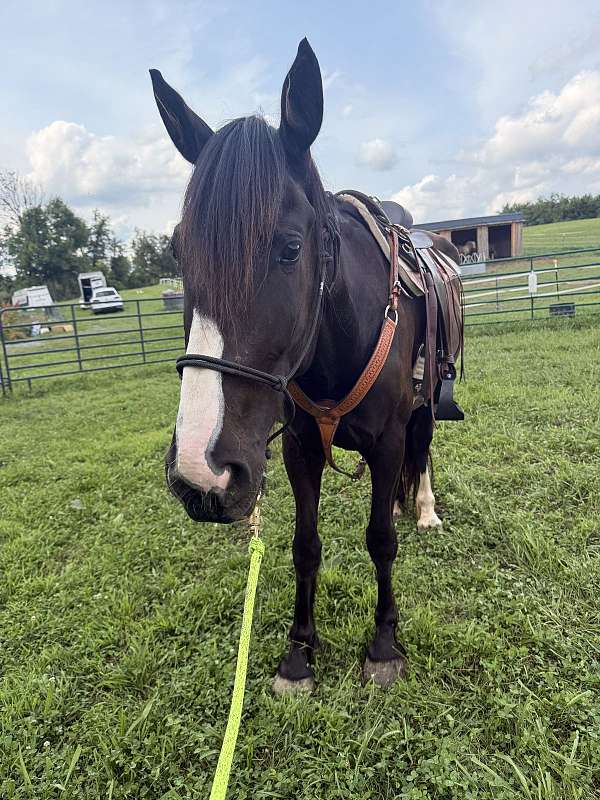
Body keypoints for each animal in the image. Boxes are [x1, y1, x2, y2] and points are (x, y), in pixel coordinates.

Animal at [152, 39, 462, 691]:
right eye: (178, 251)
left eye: (290, 248)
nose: (199, 472)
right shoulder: (298, 447)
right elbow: (305, 544)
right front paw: (299, 652)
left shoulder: (387, 440)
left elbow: (380, 540)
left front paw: (384, 644)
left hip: (428, 400)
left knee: (423, 450)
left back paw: (422, 510)